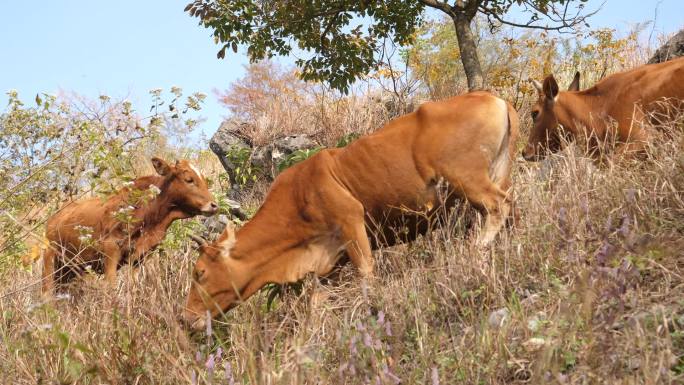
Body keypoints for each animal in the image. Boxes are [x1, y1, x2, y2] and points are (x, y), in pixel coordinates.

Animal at [41, 156, 218, 294]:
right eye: (189, 180)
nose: (214, 205)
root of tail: (55, 217)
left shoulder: (140, 256)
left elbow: (133, 287)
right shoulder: (111, 251)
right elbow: (111, 287)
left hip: (69, 269)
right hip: (50, 259)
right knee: (47, 292)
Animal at [182, 91, 520, 328]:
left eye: (200, 272)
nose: (186, 318)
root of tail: (494, 98)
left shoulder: (351, 223)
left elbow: (367, 275)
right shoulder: (329, 262)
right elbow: (317, 302)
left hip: (468, 178)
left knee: (498, 205)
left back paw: (477, 249)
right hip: (498, 173)